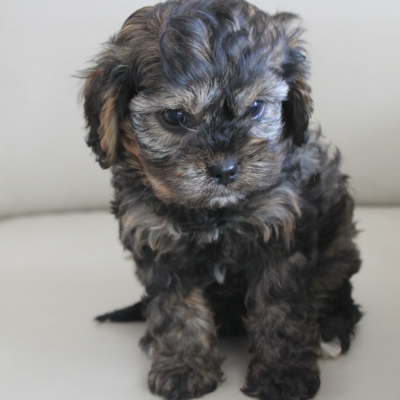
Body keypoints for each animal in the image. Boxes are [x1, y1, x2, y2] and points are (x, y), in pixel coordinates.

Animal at [81, 0, 362, 400]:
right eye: (175, 117)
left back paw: (331, 331)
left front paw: (283, 374)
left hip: (338, 249)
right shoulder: (158, 241)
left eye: (257, 107)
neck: (211, 213)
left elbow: (280, 309)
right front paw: (183, 367)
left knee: (336, 289)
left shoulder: (279, 230)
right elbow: (176, 309)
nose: (225, 168)